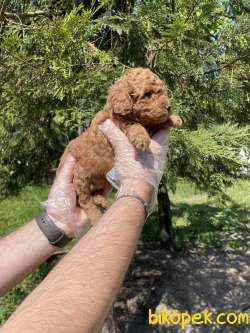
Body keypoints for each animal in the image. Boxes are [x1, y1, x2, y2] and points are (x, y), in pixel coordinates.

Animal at [59, 67, 183, 223]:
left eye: (162, 92)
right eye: (147, 94)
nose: (169, 107)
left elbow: (156, 122)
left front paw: (174, 119)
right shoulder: (118, 123)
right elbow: (132, 124)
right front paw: (141, 137)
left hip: (102, 181)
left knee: (93, 195)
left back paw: (102, 201)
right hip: (81, 176)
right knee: (84, 200)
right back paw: (97, 217)